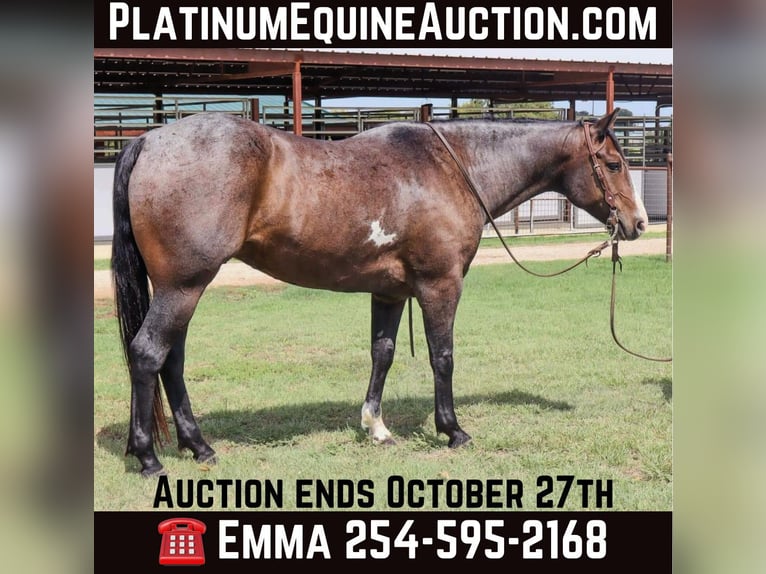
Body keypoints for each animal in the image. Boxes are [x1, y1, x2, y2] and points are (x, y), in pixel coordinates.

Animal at [111, 108, 647, 476]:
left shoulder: (390, 293)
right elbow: (442, 356)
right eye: (613, 163)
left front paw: (377, 428)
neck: (451, 168)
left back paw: (199, 447)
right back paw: (148, 457)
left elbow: (382, 354)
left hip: (182, 288)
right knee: (148, 354)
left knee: (171, 361)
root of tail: (151, 140)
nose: (639, 223)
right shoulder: (440, 285)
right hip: (183, 286)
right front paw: (452, 430)